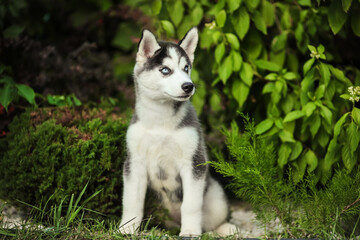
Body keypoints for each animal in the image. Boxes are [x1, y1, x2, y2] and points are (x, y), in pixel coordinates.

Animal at [119, 27, 235, 236]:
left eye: (186, 68)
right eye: (165, 70)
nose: (189, 86)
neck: (160, 121)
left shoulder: (193, 162)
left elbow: (191, 205)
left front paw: (189, 231)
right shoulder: (134, 163)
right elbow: (132, 201)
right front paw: (127, 228)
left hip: (215, 195)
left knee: (214, 220)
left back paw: (224, 228)